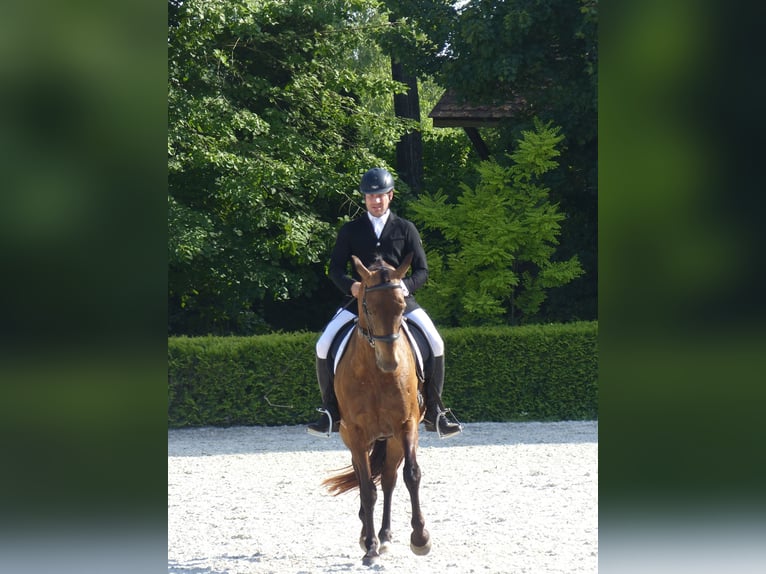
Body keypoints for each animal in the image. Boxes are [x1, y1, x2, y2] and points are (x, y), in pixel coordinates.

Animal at [322, 255, 432, 568]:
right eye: (368, 307)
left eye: (401, 306)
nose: (389, 362)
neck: (375, 375)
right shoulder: (357, 435)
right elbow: (367, 488)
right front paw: (369, 547)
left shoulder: (406, 426)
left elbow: (411, 475)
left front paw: (420, 538)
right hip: (352, 438)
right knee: (366, 478)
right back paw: (368, 535)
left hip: (391, 439)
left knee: (390, 480)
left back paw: (385, 536)